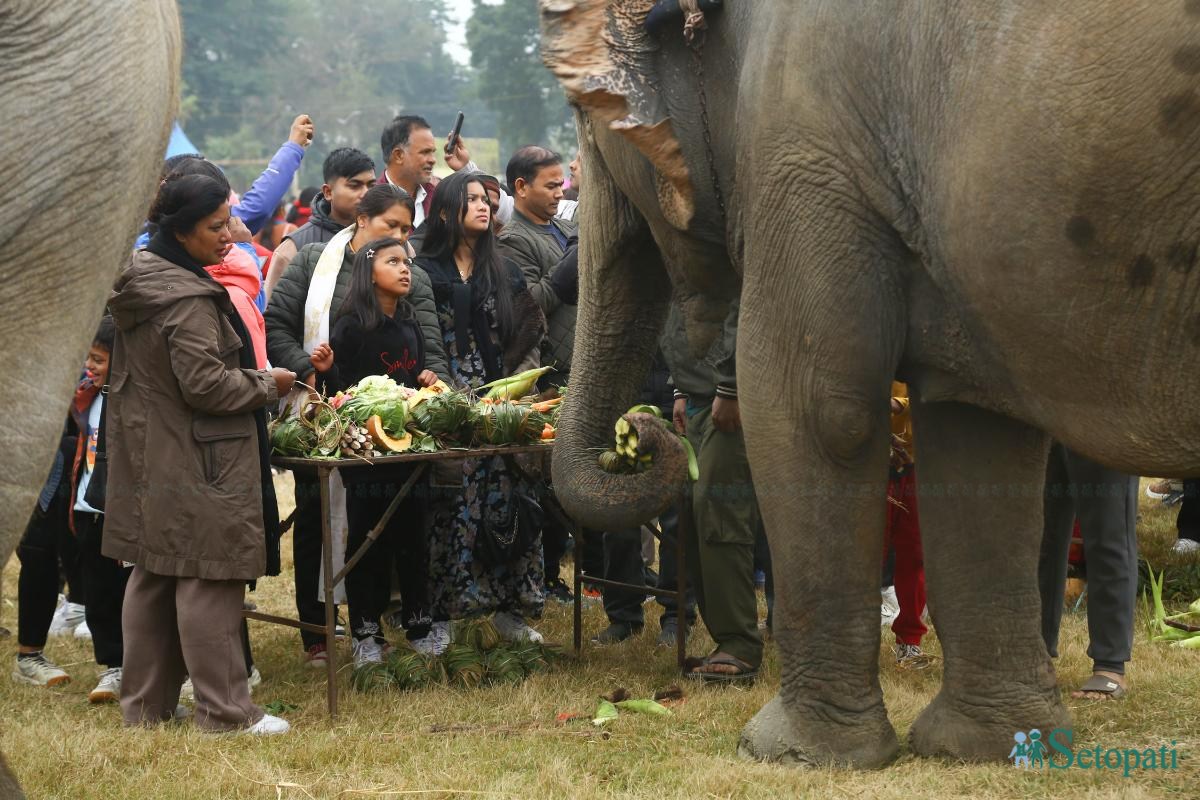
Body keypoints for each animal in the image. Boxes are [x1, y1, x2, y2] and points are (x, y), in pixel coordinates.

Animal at [542, 0, 1200, 767]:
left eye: (586, 114)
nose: (643, 429)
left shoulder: (808, 139)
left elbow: (816, 407)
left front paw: (788, 752)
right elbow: (975, 434)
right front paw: (991, 746)